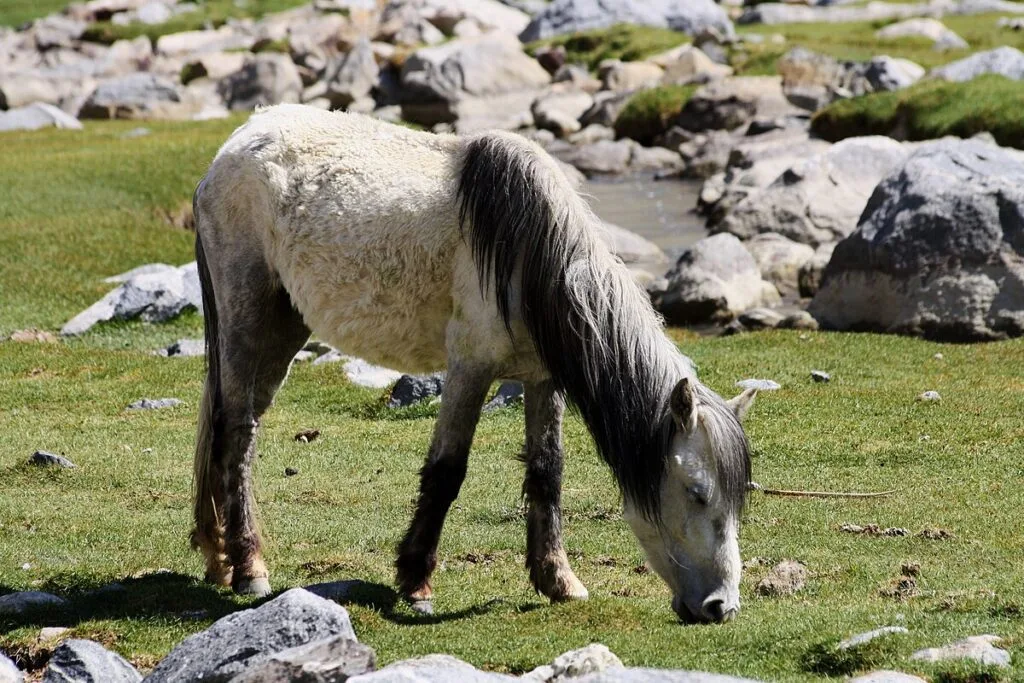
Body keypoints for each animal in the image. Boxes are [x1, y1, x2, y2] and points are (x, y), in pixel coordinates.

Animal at [190, 104, 757, 623]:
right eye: (697, 493)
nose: (721, 607)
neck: (530, 254)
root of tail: (232, 148)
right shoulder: (469, 368)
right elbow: (446, 471)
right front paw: (415, 581)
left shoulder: (542, 379)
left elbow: (548, 470)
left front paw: (558, 580)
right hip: (247, 318)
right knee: (237, 431)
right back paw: (248, 569)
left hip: (284, 329)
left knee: (239, 428)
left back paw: (221, 558)